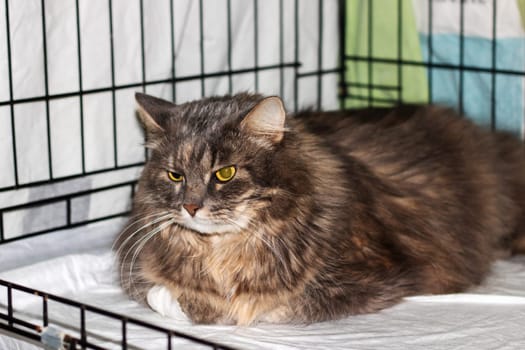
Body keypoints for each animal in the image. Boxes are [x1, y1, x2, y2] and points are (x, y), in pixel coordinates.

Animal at [114, 92, 524, 326]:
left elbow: (269, 306)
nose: (191, 206)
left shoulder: (382, 276)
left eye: (224, 173)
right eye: (175, 175)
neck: (220, 250)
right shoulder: (136, 267)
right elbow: (160, 293)